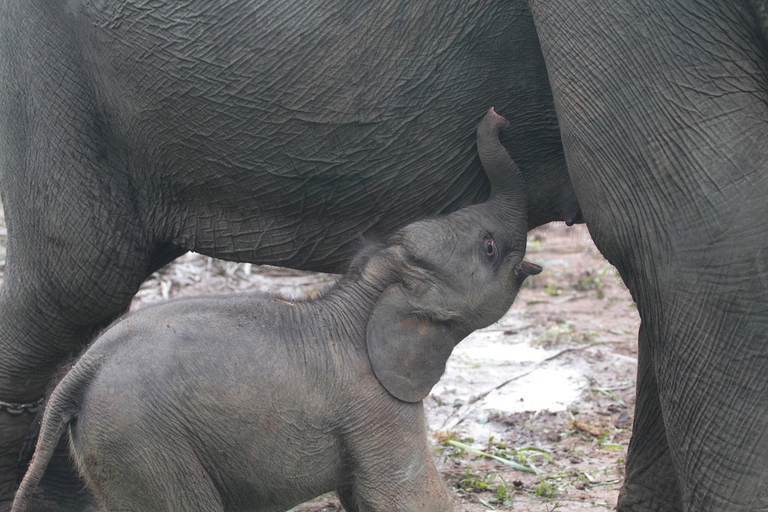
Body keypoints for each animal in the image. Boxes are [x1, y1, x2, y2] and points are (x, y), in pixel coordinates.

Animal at [0, 1, 577, 509]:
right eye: (488, 247)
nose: (497, 114)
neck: (366, 290)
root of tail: (79, 378)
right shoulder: (377, 406)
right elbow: (407, 497)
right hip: (143, 442)